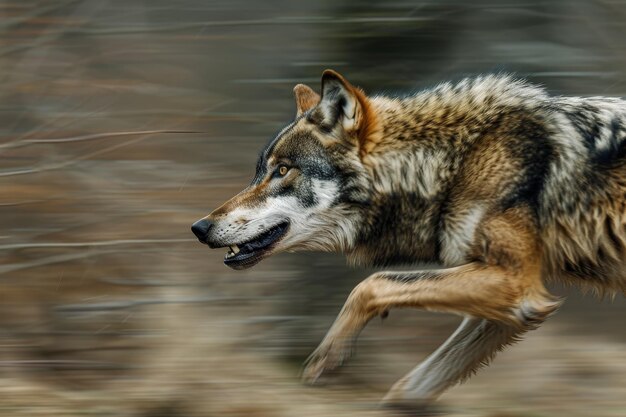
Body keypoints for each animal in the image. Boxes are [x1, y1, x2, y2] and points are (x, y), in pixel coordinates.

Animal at [190, 70, 624, 404]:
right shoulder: (513, 310)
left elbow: (371, 284)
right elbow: (408, 390)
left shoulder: (515, 284)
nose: (199, 228)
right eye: (260, 171)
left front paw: (329, 355)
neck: (455, 161)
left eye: (282, 170)